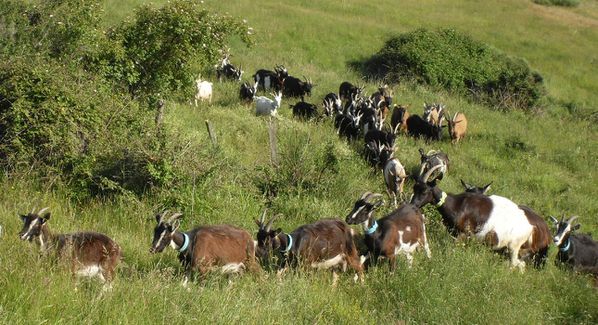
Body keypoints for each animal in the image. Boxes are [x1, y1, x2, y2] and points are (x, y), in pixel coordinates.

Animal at [412, 166, 540, 270]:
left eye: (425, 190)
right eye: (414, 188)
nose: (413, 204)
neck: (457, 205)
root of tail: (531, 227)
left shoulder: (462, 234)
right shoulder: (454, 234)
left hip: (514, 246)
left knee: (516, 264)